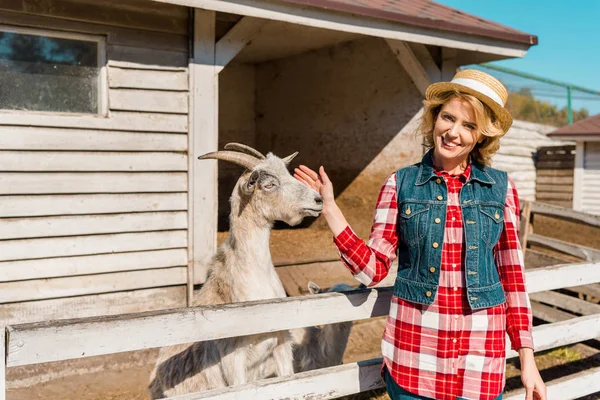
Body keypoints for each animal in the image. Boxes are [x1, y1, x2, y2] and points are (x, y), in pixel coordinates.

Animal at [149, 143, 324, 396]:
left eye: (288, 173)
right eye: (269, 184)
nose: (318, 199)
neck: (255, 277)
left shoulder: (281, 340)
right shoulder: (233, 357)